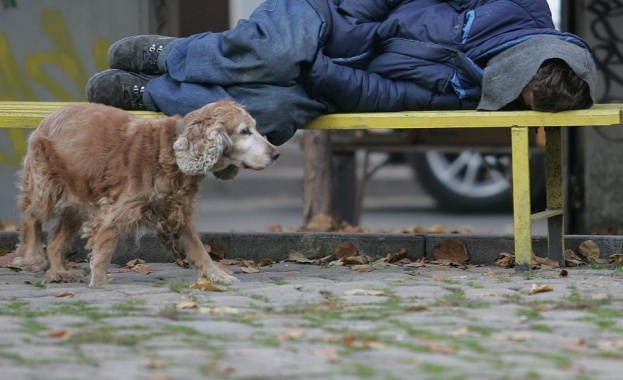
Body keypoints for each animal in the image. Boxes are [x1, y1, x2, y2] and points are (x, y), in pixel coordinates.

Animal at [11, 99, 280, 286]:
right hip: (46, 188)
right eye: (245, 131)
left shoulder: (177, 212)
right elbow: (104, 247)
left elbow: (200, 251)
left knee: (55, 240)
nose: (276, 153)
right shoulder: (118, 210)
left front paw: (219, 276)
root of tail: (48, 117)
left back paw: (59, 272)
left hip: (77, 202)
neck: (171, 150)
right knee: (31, 216)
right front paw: (99, 283)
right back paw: (34, 257)